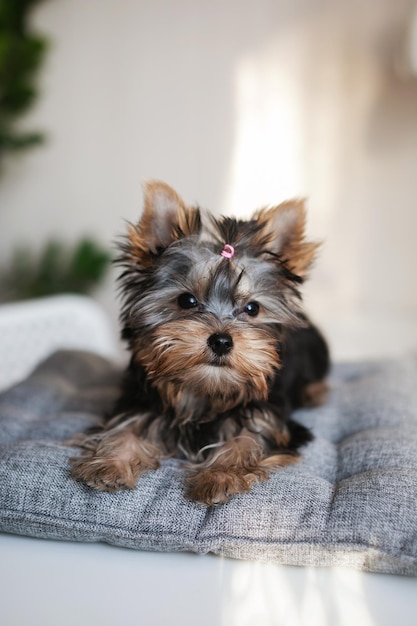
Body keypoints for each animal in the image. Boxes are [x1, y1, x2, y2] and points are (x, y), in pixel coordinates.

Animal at [70, 179, 328, 502]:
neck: (204, 391)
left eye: (252, 308)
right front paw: (109, 463)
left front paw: (220, 476)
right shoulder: (140, 403)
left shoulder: (272, 420)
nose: (221, 341)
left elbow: (249, 439)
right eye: (186, 300)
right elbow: (125, 429)